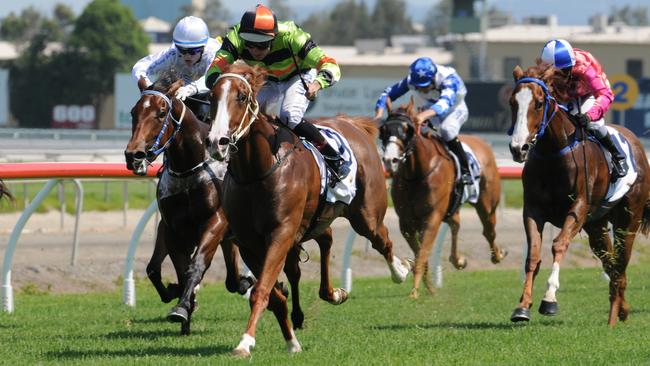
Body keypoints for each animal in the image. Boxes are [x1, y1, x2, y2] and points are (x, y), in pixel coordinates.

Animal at [124, 73, 248, 336]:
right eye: (133, 112)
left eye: (161, 113)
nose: (134, 156)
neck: (189, 167)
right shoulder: (172, 228)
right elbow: (171, 271)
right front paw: (183, 308)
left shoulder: (215, 221)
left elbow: (196, 265)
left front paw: (182, 307)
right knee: (231, 278)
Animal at [206, 63, 410, 358]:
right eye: (212, 97)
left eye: (242, 97)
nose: (216, 142)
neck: (257, 170)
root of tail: (350, 123)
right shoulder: (249, 242)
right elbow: (274, 296)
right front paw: (291, 341)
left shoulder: (281, 233)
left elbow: (262, 290)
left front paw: (245, 342)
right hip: (316, 219)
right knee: (326, 239)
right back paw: (332, 294)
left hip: (366, 214)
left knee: (382, 239)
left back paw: (400, 271)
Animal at [380, 98, 506, 300]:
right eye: (383, 129)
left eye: (407, 129)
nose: (390, 160)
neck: (417, 172)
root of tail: (482, 143)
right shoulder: (406, 223)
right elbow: (420, 256)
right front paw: (429, 288)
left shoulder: (432, 217)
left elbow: (422, 254)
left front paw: (414, 292)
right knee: (456, 224)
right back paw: (458, 260)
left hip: (487, 204)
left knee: (488, 230)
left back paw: (498, 254)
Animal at [506, 63, 648, 326]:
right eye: (513, 102)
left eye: (538, 103)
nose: (518, 148)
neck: (553, 154)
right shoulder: (532, 210)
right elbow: (533, 255)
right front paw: (522, 306)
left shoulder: (579, 207)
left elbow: (559, 244)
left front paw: (549, 299)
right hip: (597, 226)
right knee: (611, 264)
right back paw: (620, 310)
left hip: (629, 221)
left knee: (620, 264)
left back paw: (615, 316)